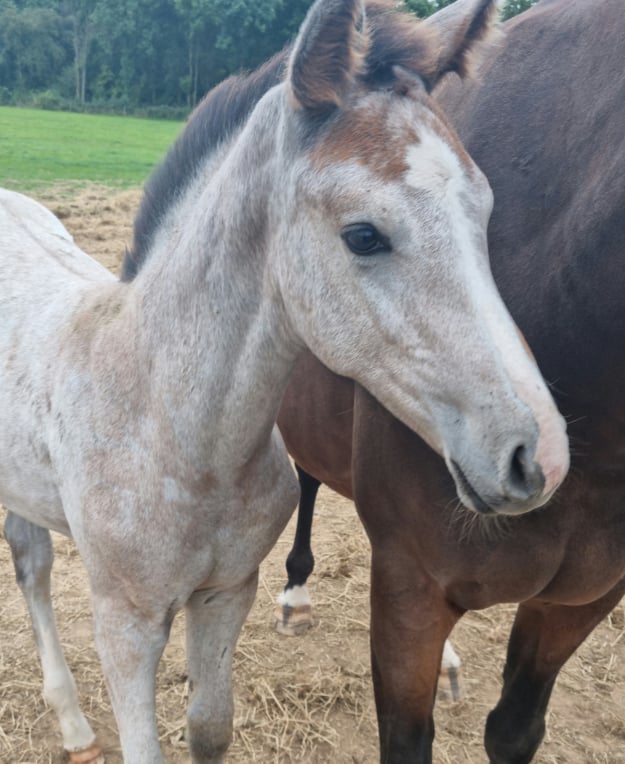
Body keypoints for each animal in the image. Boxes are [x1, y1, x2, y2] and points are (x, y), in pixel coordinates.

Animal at [276, 0, 624, 760]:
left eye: (487, 222)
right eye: (364, 237)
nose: (536, 460)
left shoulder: (580, 601)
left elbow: (515, 730)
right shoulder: (411, 587)